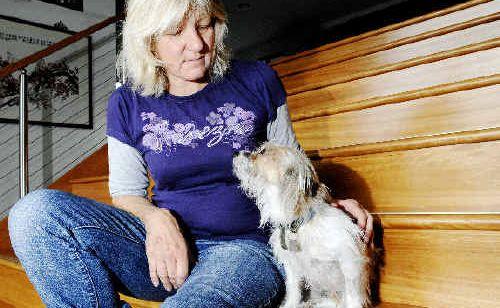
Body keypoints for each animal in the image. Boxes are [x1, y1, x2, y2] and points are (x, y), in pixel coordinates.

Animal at [233, 143, 372, 308]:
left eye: (263, 152)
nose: (235, 153)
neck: (298, 225)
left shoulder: (349, 259)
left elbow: (352, 295)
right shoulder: (292, 265)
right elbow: (293, 290)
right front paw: (290, 305)